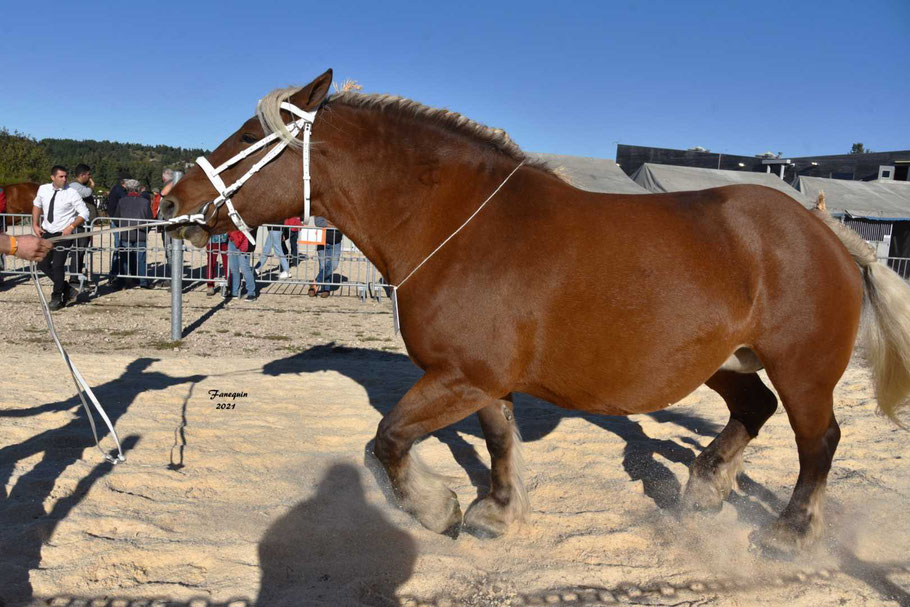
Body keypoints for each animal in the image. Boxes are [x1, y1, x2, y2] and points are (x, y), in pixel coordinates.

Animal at [160, 70, 910, 552]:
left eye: (248, 139)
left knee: (818, 442)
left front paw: (437, 509)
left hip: (803, 367)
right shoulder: (479, 379)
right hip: (722, 359)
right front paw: (494, 512)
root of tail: (830, 234)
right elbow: (497, 442)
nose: (172, 202)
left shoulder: (460, 376)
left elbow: (388, 439)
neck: (456, 223)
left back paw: (790, 532)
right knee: (753, 408)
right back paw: (704, 488)